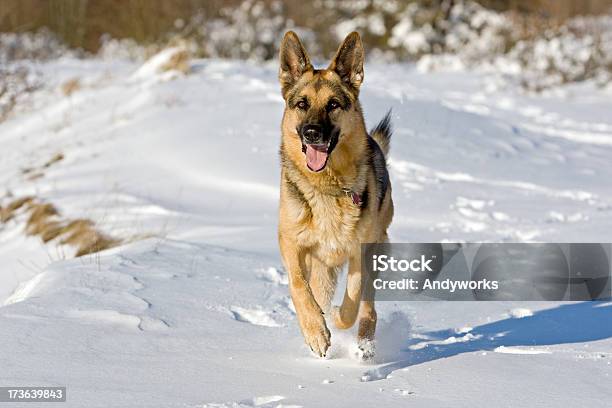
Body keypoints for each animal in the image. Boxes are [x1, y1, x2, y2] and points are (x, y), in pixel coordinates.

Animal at [278, 31, 392, 356]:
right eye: (301, 104)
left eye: (333, 105)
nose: (312, 133)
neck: (326, 187)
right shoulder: (290, 243)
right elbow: (298, 285)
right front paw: (315, 331)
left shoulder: (361, 250)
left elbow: (353, 296)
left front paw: (338, 318)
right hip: (321, 268)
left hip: (378, 245)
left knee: (368, 304)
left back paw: (364, 340)